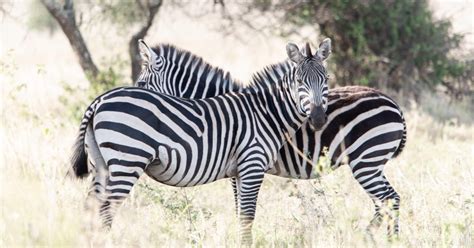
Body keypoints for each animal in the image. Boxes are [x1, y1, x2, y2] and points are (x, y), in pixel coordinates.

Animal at [71, 41, 334, 244]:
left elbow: (240, 214)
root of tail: (99, 100)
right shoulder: (252, 164)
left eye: (326, 79)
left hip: (101, 165)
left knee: (90, 210)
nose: (319, 119)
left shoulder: (238, 171)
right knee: (105, 211)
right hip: (127, 162)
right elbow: (247, 216)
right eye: (299, 81)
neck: (266, 112)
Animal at [134, 39, 408, 238]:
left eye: (141, 83)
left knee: (389, 199)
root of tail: (393, 103)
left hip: (366, 161)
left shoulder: (242, 165)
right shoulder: (238, 168)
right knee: (384, 202)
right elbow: (239, 210)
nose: (318, 119)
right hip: (371, 163)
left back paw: (387, 239)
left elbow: (242, 211)